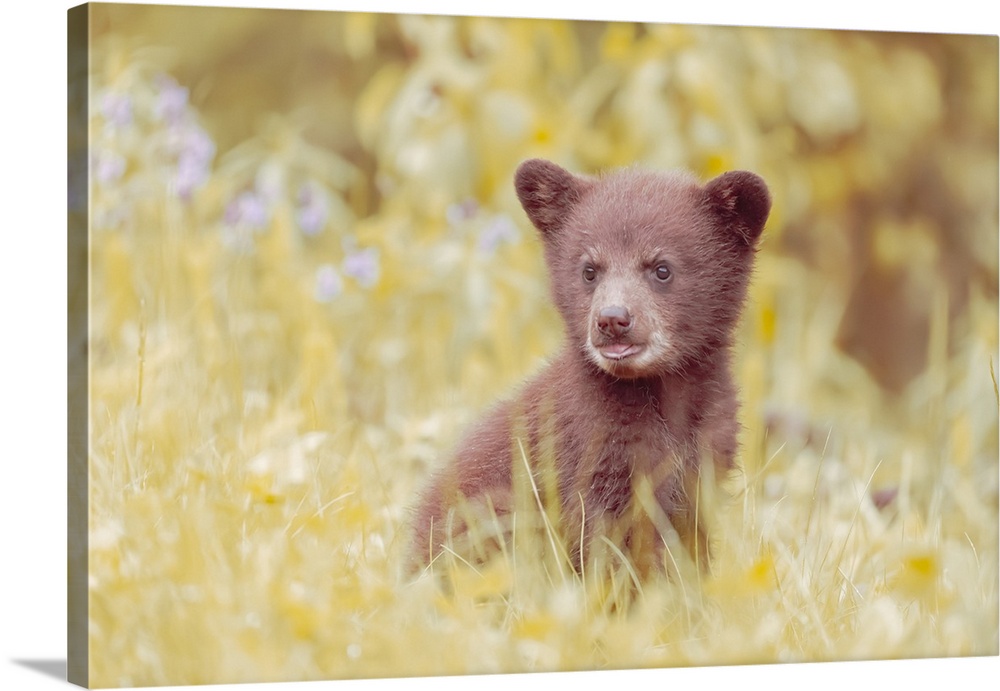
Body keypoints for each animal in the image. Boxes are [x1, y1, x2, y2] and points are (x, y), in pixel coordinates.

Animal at [407, 158, 771, 578]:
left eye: (661, 268)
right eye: (589, 270)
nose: (612, 319)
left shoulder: (710, 452)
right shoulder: (586, 456)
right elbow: (605, 545)